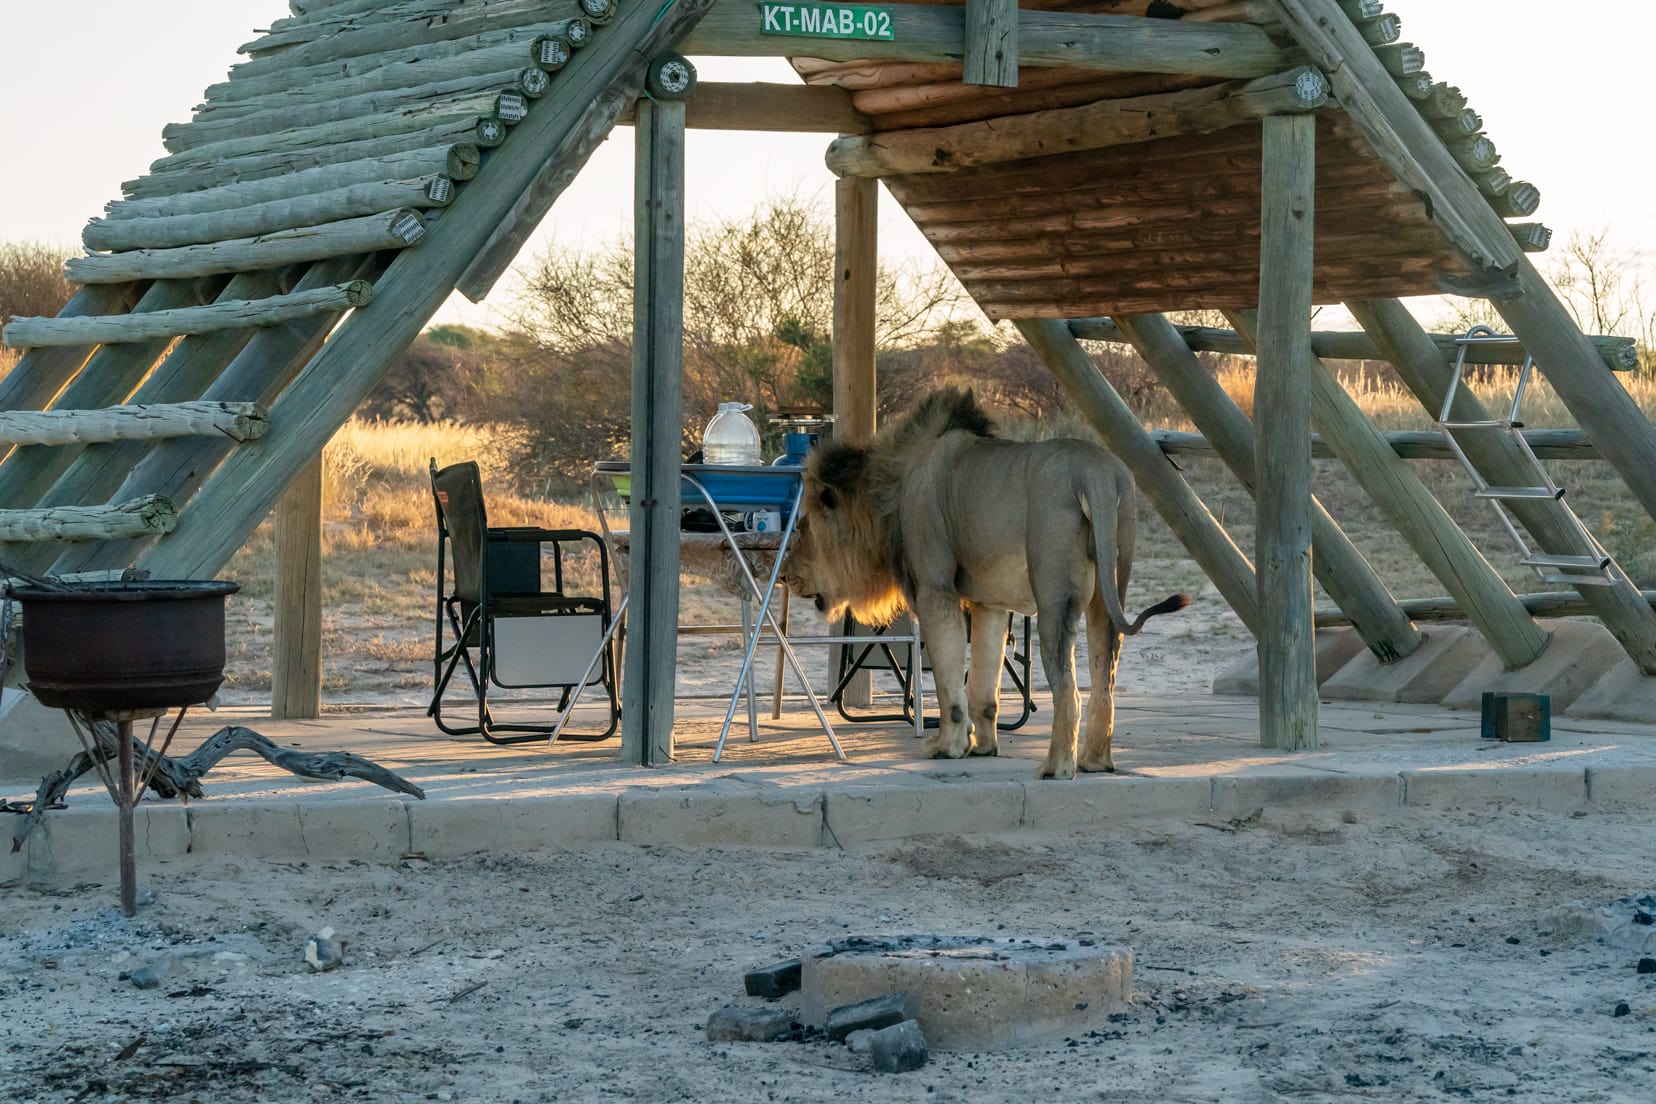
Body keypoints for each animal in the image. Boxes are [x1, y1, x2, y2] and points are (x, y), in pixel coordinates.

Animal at [781, 387, 1185, 777]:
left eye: (803, 529)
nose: (782, 575)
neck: (890, 492)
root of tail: (1097, 474)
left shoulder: (935, 589)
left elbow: (948, 681)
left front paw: (948, 747)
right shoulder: (989, 603)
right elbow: (982, 684)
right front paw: (984, 748)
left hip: (1054, 594)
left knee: (1069, 690)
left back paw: (1056, 768)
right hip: (1108, 590)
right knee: (1104, 684)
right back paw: (1095, 762)